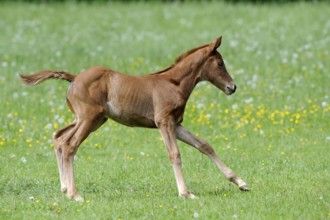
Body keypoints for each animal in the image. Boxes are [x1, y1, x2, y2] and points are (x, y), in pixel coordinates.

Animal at [20, 36, 248, 201]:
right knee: (69, 145)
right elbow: (174, 154)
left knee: (59, 137)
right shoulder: (164, 122)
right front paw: (186, 193)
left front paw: (240, 182)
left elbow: (204, 145)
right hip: (89, 119)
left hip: (91, 120)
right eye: (220, 63)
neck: (174, 83)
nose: (232, 87)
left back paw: (64, 187)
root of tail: (74, 78)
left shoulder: (176, 124)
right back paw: (75, 194)